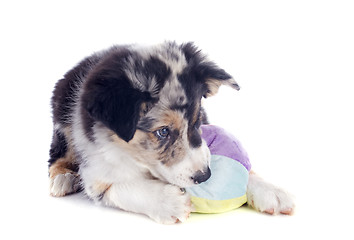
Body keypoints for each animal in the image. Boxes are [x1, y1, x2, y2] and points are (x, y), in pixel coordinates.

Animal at [48, 41, 294, 223]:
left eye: (197, 121)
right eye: (163, 132)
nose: (205, 176)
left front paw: (271, 191)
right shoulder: (95, 173)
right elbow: (121, 187)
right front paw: (170, 202)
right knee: (57, 155)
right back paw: (62, 178)